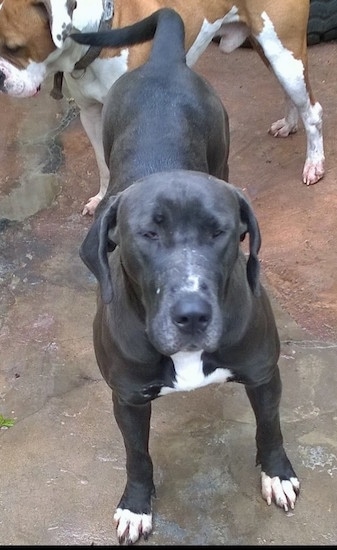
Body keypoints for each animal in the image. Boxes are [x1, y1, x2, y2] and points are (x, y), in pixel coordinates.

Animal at [0, 0, 322, 216]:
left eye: (14, 47)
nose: (0, 78)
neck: (102, 29)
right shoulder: (92, 114)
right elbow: (103, 164)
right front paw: (103, 198)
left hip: (283, 50)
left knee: (313, 111)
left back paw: (314, 164)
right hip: (269, 49)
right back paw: (289, 124)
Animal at [72, 8, 298, 548]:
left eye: (220, 231)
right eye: (148, 234)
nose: (192, 315)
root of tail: (163, 61)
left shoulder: (264, 374)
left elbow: (271, 429)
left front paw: (277, 473)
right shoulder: (128, 398)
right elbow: (137, 456)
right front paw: (136, 506)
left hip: (223, 150)